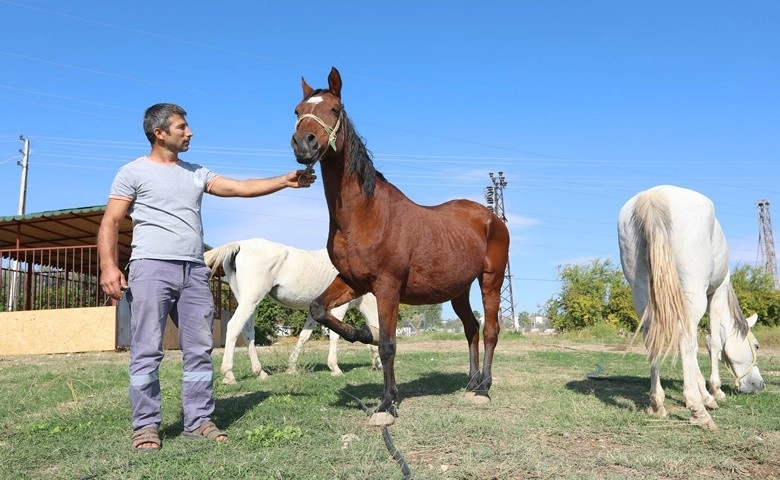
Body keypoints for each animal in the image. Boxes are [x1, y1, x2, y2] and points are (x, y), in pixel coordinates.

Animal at [204, 238, 380, 384]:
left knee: (248, 332)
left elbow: (304, 336)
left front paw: (291, 367)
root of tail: (240, 245)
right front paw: (335, 368)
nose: (379, 367)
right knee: (234, 326)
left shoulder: (315, 312)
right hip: (250, 299)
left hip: (246, 301)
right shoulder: (337, 309)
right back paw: (229, 374)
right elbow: (335, 336)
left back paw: (260, 372)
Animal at [290, 65, 508, 426]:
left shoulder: (387, 287)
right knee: (472, 329)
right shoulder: (351, 281)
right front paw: (362, 335)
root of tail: (492, 217)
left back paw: (484, 388)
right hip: (458, 290)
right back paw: (471, 382)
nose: (303, 144)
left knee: (490, 329)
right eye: (297, 111)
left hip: (491, 279)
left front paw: (386, 404)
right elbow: (319, 309)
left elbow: (389, 345)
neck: (366, 214)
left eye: (333, 109)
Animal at [620, 186, 764, 430]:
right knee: (686, 340)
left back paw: (657, 404)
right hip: (693, 292)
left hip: (641, 292)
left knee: (652, 339)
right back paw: (699, 411)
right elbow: (712, 342)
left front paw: (704, 393)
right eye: (756, 345)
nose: (760, 386)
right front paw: (713, 393)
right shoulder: (717, 292)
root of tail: (653, 197)